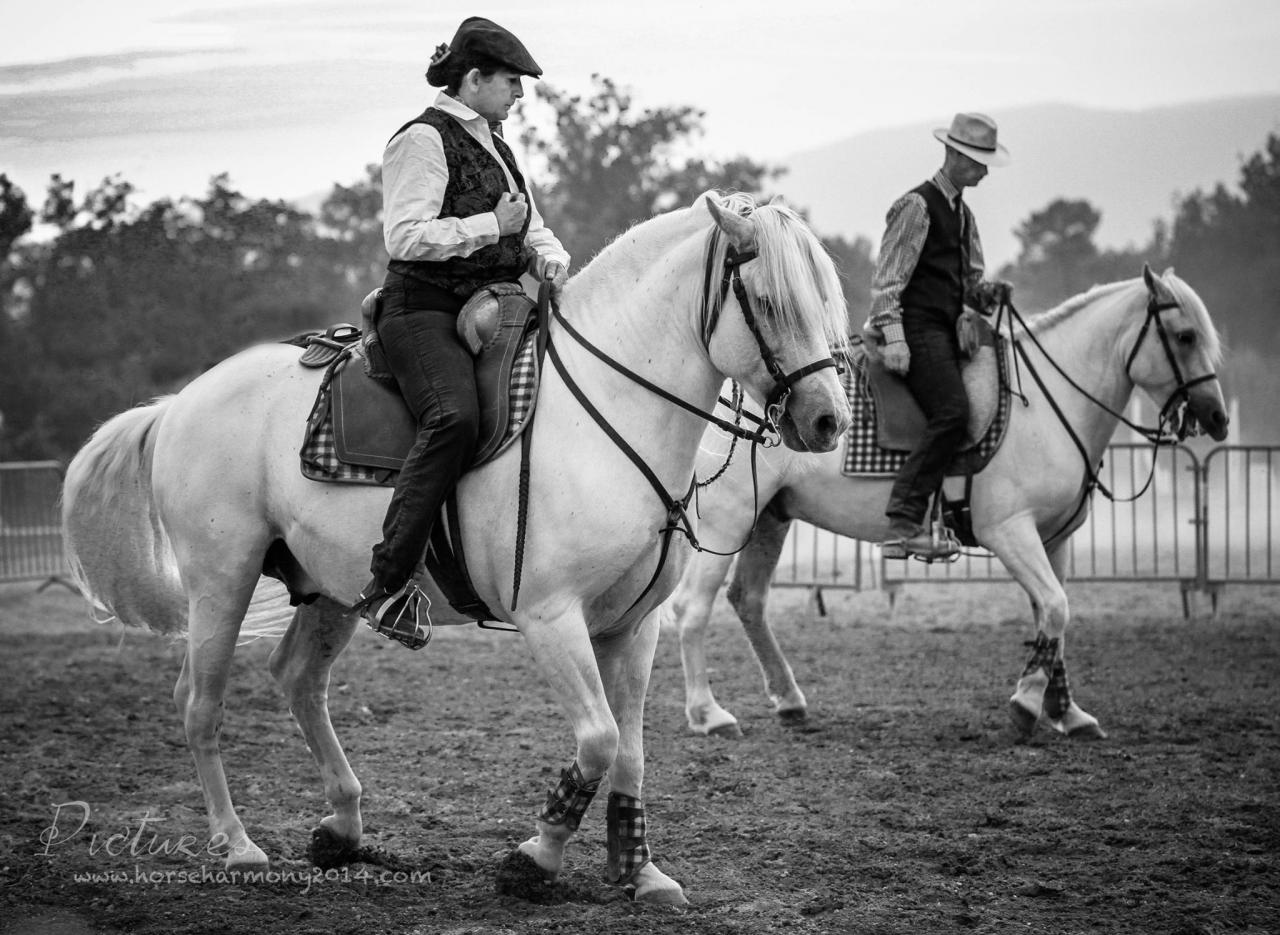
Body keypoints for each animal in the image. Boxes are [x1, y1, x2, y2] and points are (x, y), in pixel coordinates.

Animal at [64, 194, 855, 901]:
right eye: (769, 300)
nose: (827, 421)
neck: (606, 410)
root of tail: (178, 403)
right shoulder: (550, 616)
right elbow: (598, 739)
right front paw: (534, 858)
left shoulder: (633, 625)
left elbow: (630, 753)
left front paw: (640, 872)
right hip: (220, 582)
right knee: (199, 703)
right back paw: (238, 846)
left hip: (329, 591)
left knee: (297, 679)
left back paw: (343, 827)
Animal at [665, 266, 1223, 737]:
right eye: (1185, 336)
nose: (1217, 418)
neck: (1046, 407)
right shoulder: (1010, 532)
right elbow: (1056, 609)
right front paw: (1027, 703)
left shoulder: (1055, 539)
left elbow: (1054, 618)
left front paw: (1066, 712)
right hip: (729, 520)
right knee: (692, 606)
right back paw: (707, 714)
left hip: (770, 519)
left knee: (749, 600)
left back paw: (789, 700)